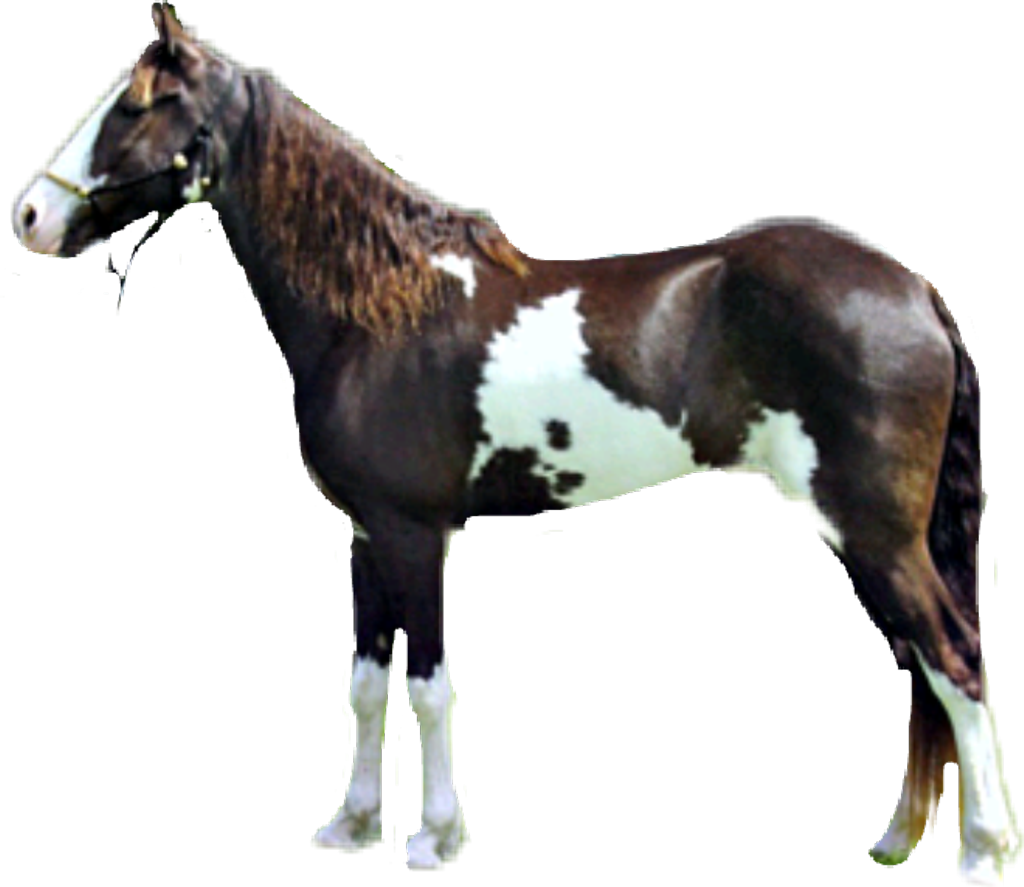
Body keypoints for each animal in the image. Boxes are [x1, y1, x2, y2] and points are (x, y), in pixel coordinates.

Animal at [14, 5, 1017, 879]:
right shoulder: (367, 536)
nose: (28, 216)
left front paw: (433, 838)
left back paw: (981, 851)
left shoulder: (415, 535)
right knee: (922, 666)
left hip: (874, 528)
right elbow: (367, 684)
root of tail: (913, 288)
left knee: (951, 658)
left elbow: (428, 685)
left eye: (136, 106)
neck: (379, 310)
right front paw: (352, 824)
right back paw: (900, 839)